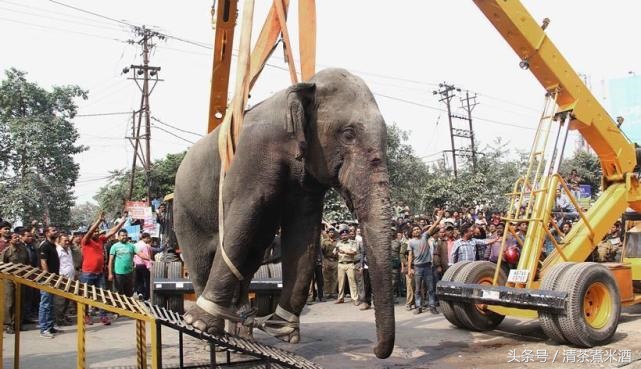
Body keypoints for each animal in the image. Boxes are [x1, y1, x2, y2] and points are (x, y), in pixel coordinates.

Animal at [175, 68, 396, 356]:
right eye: (348, 134)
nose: (376, 350)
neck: (304, 87)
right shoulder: (252, 155)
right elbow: (244, 217)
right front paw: (201, 324)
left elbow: (303, 232)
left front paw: (283, 331)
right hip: (186, 212)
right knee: (201, 260)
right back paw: (207, 331)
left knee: (251, 257)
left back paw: (240, 332)